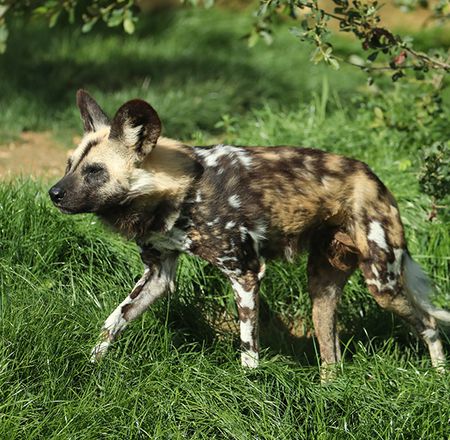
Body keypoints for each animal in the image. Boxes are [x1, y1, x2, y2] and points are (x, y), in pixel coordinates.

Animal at [50, 90, 450, 378]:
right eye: (70, 166)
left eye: (95, 172)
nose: (53, 193)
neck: (181, 191)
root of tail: (375, 178)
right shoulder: (157, 275)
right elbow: (112, 323)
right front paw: (89, 366)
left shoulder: (245, 273)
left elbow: (248, 353)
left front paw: (248, 391)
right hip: (322, 289)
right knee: (331, 356)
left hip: (382, 284)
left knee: (430, 324)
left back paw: (438, 376)